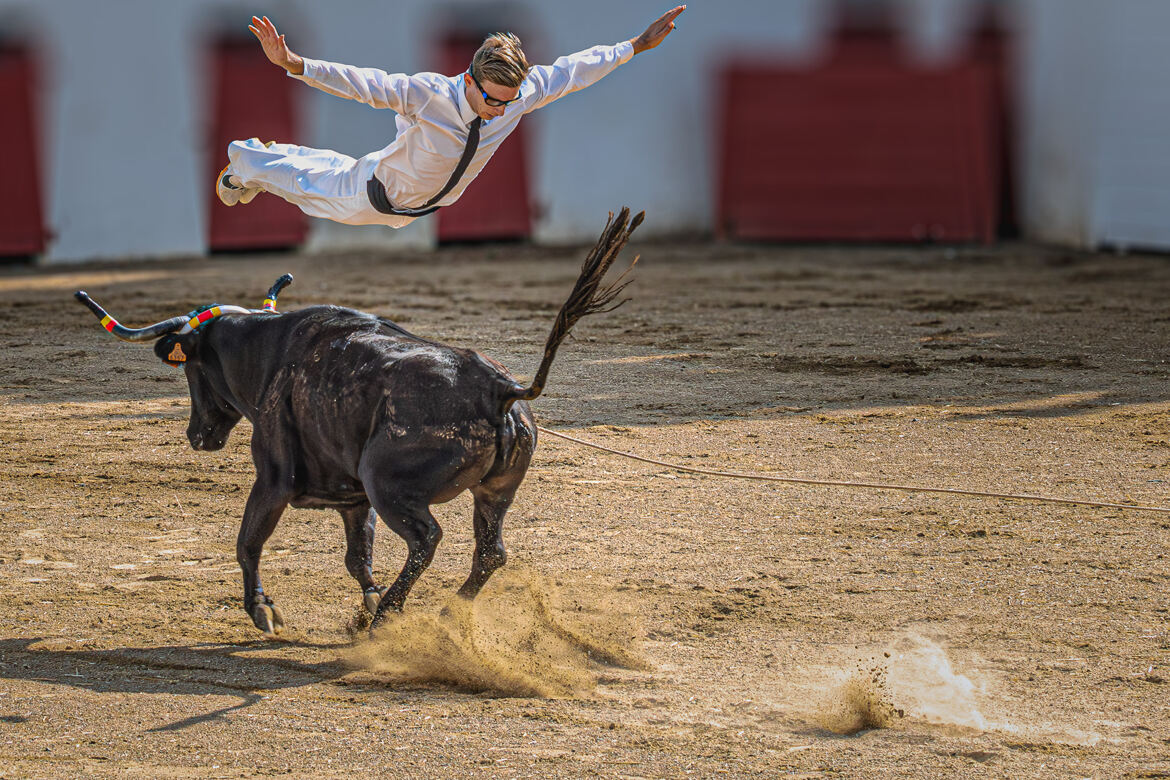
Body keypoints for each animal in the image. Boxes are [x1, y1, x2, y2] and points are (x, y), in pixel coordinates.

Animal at [77, 210, 645, 636]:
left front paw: (264, 611)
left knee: (427, 539)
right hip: (494, 491)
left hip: (388, 483)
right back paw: (441, 614)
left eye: (191, 369)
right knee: (490, 552)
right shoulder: (352, 497)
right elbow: (358, 556)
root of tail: (499, 387)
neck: (271, 352)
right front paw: (366, 600)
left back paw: (389, 620)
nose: (197, 436)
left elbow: (248, 541)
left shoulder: (275, 478)